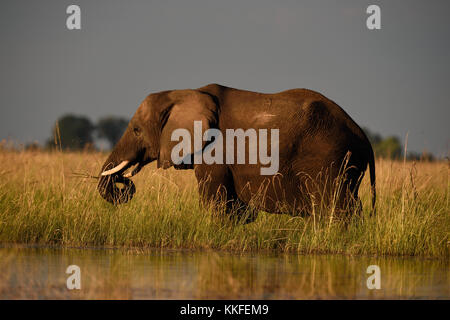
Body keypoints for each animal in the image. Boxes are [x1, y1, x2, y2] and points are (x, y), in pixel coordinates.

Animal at [98, 84, 376, 221]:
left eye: (136, 130)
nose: (123, 184)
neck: (182, 93)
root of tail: (364, 137)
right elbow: (237, 209)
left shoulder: (214, 151)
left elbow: (217, 204)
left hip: (331, 159)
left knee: (337, 206)